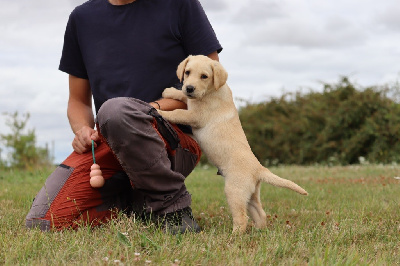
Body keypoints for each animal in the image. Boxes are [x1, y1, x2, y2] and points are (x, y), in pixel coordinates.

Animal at [158, 55, 308, 232]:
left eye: (204, 76)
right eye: (187, 72)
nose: (189, 88)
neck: (212, 91)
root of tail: (259, 169)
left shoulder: (195, 116)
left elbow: (177, 112)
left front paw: (158, 111)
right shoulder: (191, 104)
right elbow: (183, 98)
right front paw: (170, 91)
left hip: (234, 191)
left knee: (242, 218)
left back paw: (234, 234)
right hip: (250, 194)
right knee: (260, 213)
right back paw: (258, 230)